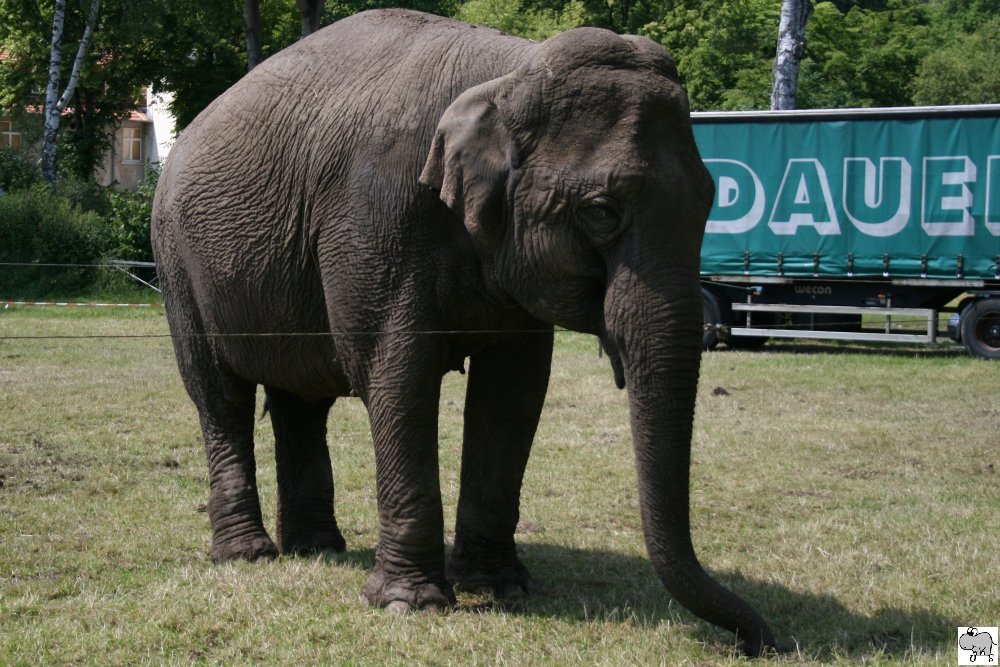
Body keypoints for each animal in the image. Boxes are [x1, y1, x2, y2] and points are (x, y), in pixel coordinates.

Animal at [150, 7, 772, 656]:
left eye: (711, 202)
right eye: (601, 211)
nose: (753, 642)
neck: (510, 70)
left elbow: (514, 392)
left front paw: (501, 589)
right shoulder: (377, 214)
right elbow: (398, 377)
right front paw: (410, 605)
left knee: (302, 402)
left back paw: (318, 549)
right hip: (176, 264)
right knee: (219, 396)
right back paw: (248, 556)